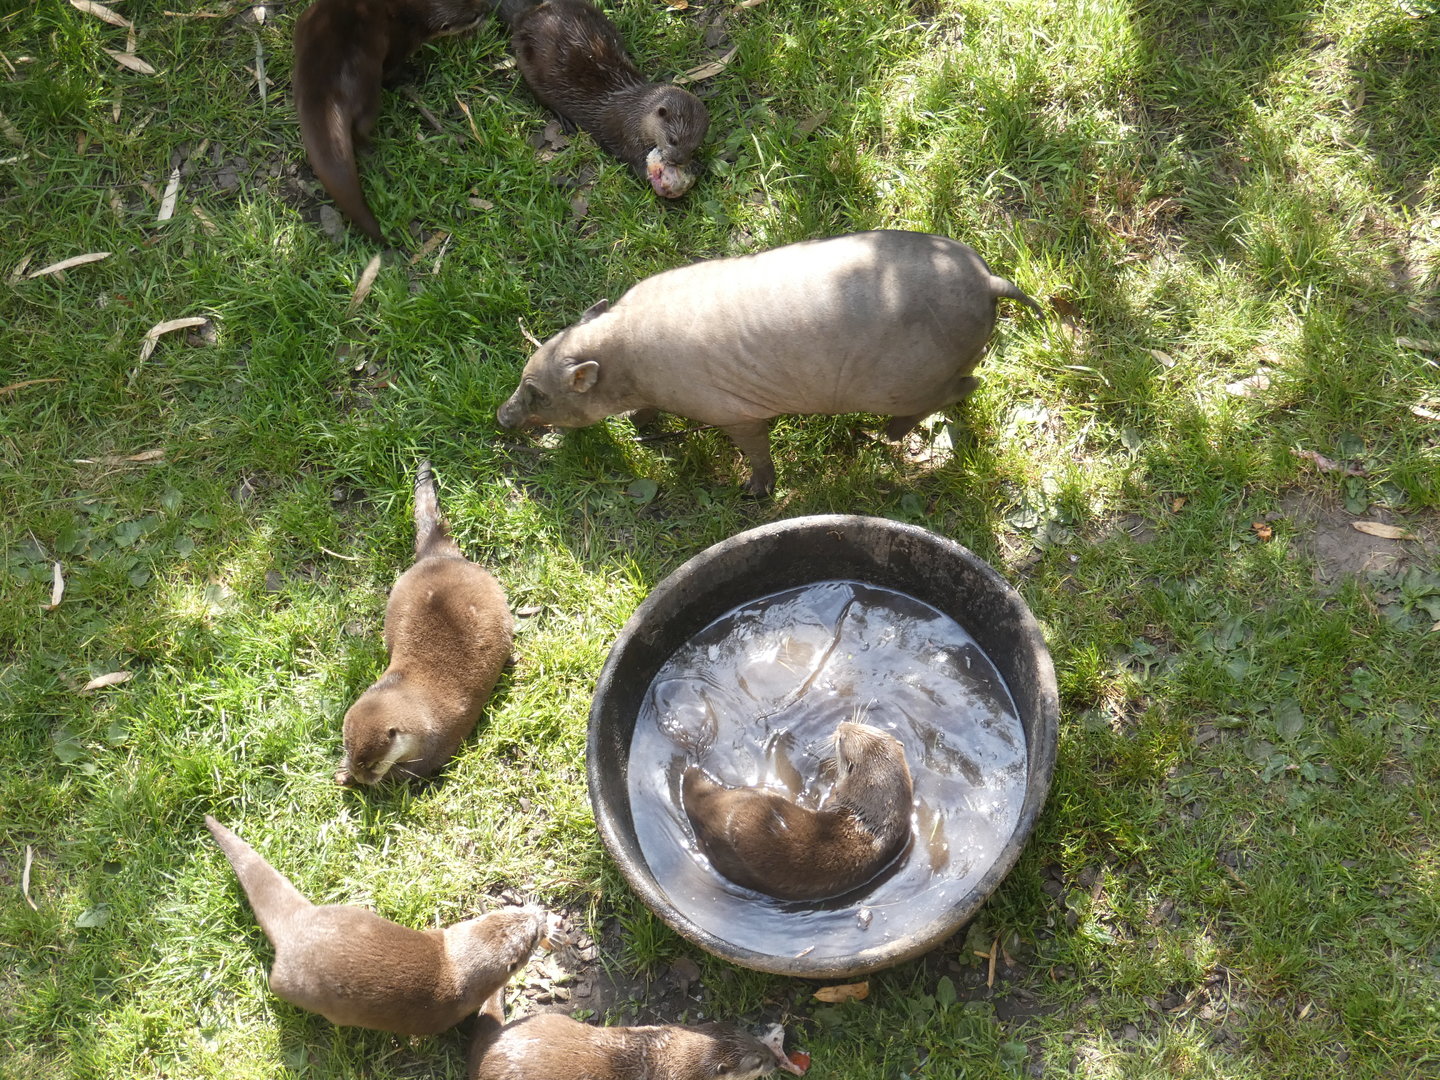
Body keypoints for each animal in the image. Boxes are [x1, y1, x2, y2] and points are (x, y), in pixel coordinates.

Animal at [204, 815, 548, 1034]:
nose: (539, 917)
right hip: (293, 985)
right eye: (531, 939)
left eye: (513, 910)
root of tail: (297, 925)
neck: (451, 965)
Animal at [293, 0, 490, 242]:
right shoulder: (403, 40)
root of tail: (326, 93)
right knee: (363, 123)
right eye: (473, 16)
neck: (411, 11)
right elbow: (392, 67)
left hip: (306, 24)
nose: (487, 9)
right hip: (367, 87)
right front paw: (411, 72)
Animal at [336, 461, 514, 785]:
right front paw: (343, 772)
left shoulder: (435, 747)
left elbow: (408, 775)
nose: (360, 775)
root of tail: (441, 557)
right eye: (348, 750)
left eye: (373, 764)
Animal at [498, 0, 710, 197]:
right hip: (529, 65)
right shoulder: (627, 134)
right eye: (673, 140)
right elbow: (635, 164)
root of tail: (526, 16)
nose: (678, 160)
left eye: (694, 147)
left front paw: (696, 166)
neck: (636, 112)